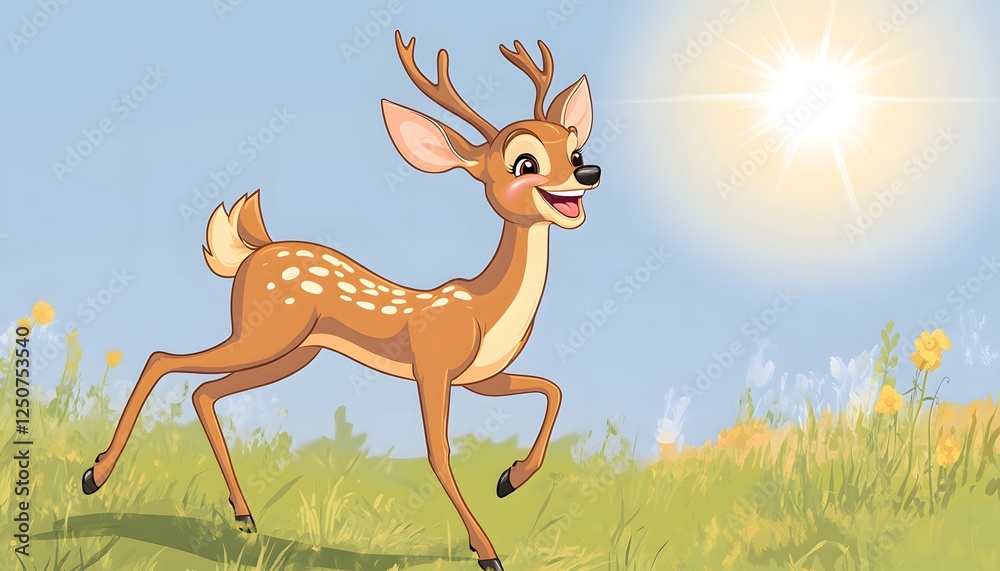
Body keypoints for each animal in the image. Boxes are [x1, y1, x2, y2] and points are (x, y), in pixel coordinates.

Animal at [82, 31, 599, 571]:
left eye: (575, 149)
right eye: (525, 163)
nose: (590, 173)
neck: (485, 308)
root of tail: (249, 252)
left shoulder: (481, 378)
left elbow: (553, 389)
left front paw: (510, 479)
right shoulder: (432, 366)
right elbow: (439, 453)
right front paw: (488, 553)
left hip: (293, 351)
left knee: (204, 391)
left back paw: (244, 517)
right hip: (264, 333)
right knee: (163, 358)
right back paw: (95, 476)